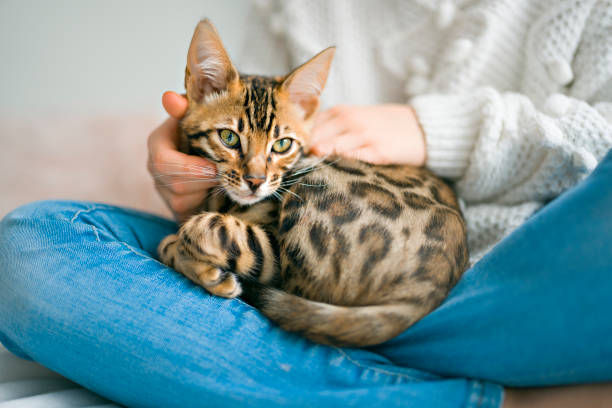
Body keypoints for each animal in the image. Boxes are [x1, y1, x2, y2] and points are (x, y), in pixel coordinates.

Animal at [159, 17, 468, 346]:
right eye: (228, 137)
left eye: (282, 145)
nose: (255, 181)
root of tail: (433, 281)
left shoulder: (274, 255)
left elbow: (195, 231)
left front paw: (197, 263)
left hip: (313, 187)